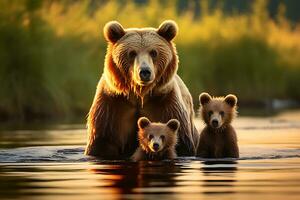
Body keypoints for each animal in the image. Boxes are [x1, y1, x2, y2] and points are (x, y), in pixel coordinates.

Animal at [84, 20, 198, 158]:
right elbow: (102, 143)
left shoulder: (165, 104)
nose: (144, 72)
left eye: (153, 52)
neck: (140, 94)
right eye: (132, 53)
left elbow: (181, 144)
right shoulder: (112, 106)